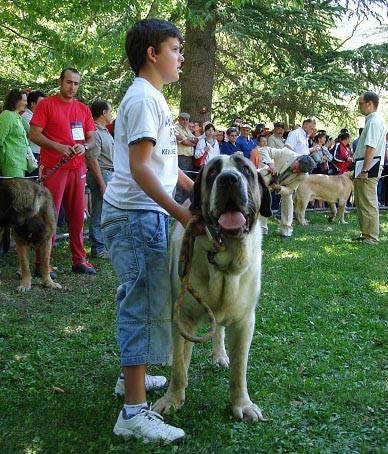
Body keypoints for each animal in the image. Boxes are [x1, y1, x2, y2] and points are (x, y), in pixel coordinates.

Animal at [153, 155, 272, 422]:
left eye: (245, 169)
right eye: (212, 173)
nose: (228, 179)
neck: (224, 259)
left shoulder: (245, 321)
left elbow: (240, 368)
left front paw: (241, 404)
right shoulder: (183, 317)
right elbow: (180, 366)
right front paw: (172, 399)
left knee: (218, 330)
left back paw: (219, 355)